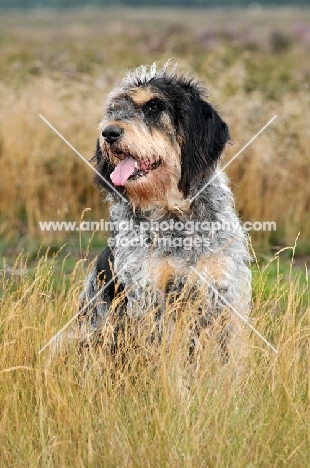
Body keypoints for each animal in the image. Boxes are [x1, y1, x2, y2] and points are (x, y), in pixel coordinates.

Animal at [78, 63, 251, 358]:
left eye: (154, 106)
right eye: (114, 109)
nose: (108, 133)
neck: (174, 214)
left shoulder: (219, 289)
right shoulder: (148, 292)